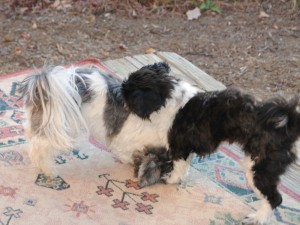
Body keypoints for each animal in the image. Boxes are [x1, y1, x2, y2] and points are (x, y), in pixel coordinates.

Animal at [19, 62, 298, 225]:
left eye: (129, 91)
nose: (120, 93)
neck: (172, 101)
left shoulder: (176, 144)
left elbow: (173, 163)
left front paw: (164, 175)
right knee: (38, 143)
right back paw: (47, 169)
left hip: (258, 166)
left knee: (274, 198)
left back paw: (258, 216)